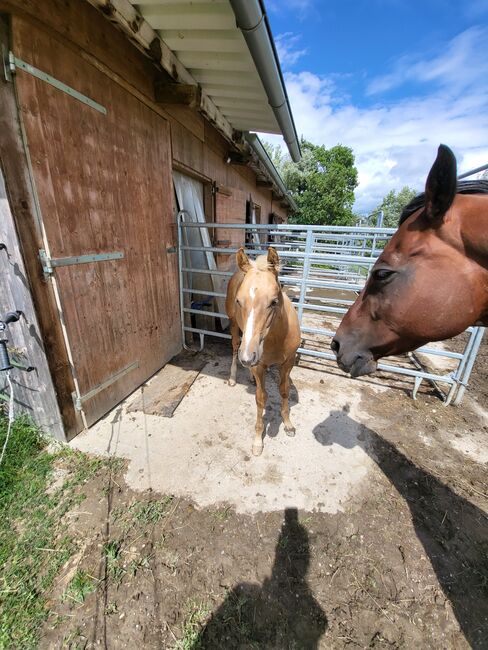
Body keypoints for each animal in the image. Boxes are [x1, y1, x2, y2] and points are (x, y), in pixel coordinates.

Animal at [226, 246, 302, 454]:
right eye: (239, 301)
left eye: (274, 301)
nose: (248, 357)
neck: (276, 338)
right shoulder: (259, 364)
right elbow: (261, 398)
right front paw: (258, 440)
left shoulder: (288, 362)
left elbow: (284, 390)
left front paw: (288, 424)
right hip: (234, 326)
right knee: (234, 348)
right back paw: (233, 377)